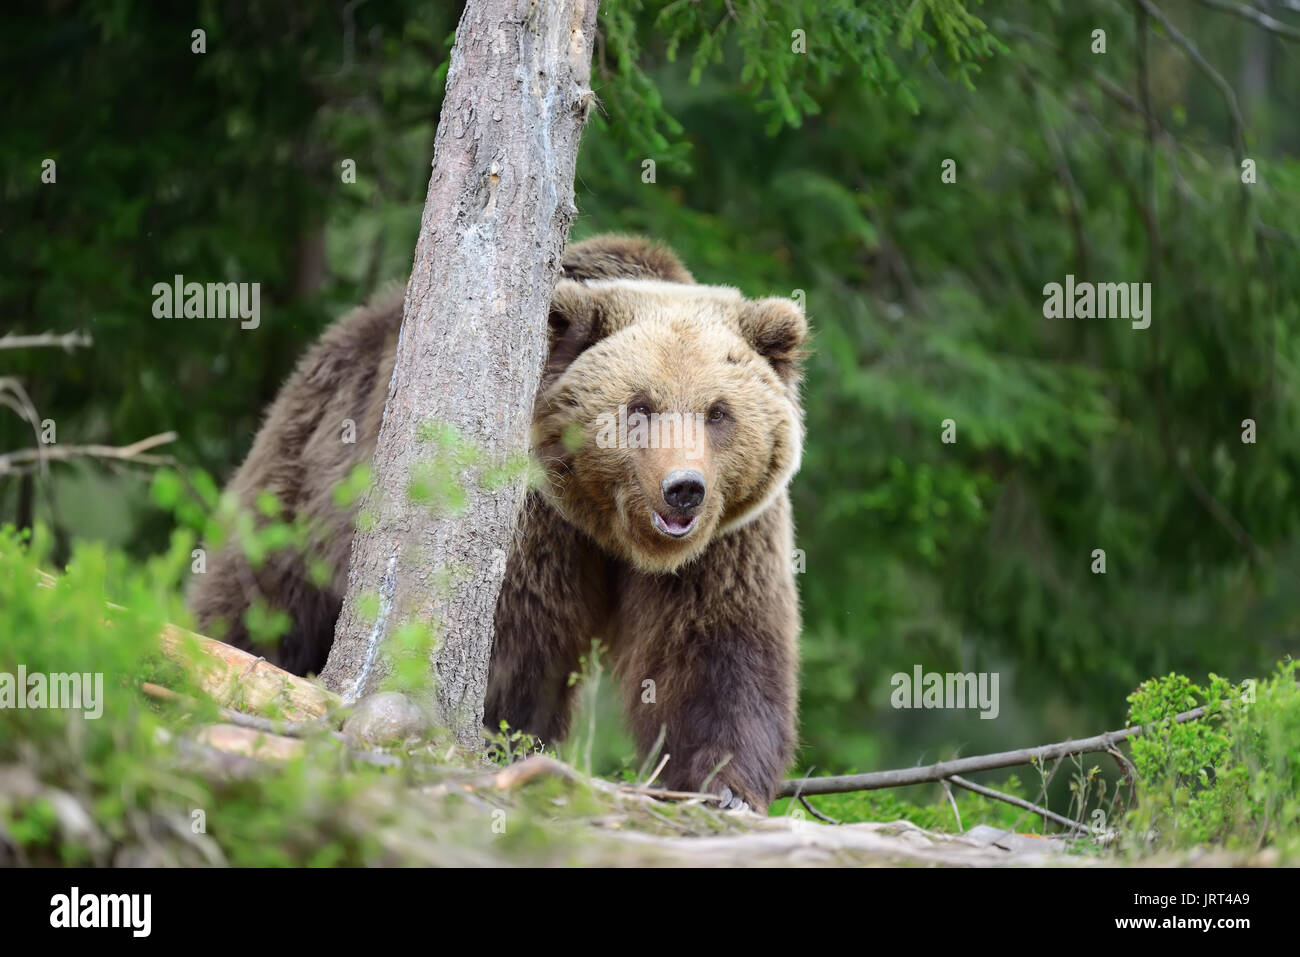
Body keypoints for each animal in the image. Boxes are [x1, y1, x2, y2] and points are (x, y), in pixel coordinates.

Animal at [188, 235, 807, 810]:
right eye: (640, 406)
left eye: (718, 411)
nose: (683, 488)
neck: (609, 528)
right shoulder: (535, 519)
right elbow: (515, 641)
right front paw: (502, 741)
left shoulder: (727, 541)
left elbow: (718, 648)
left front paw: (723, 786)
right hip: (312, 469)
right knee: (262, 592)